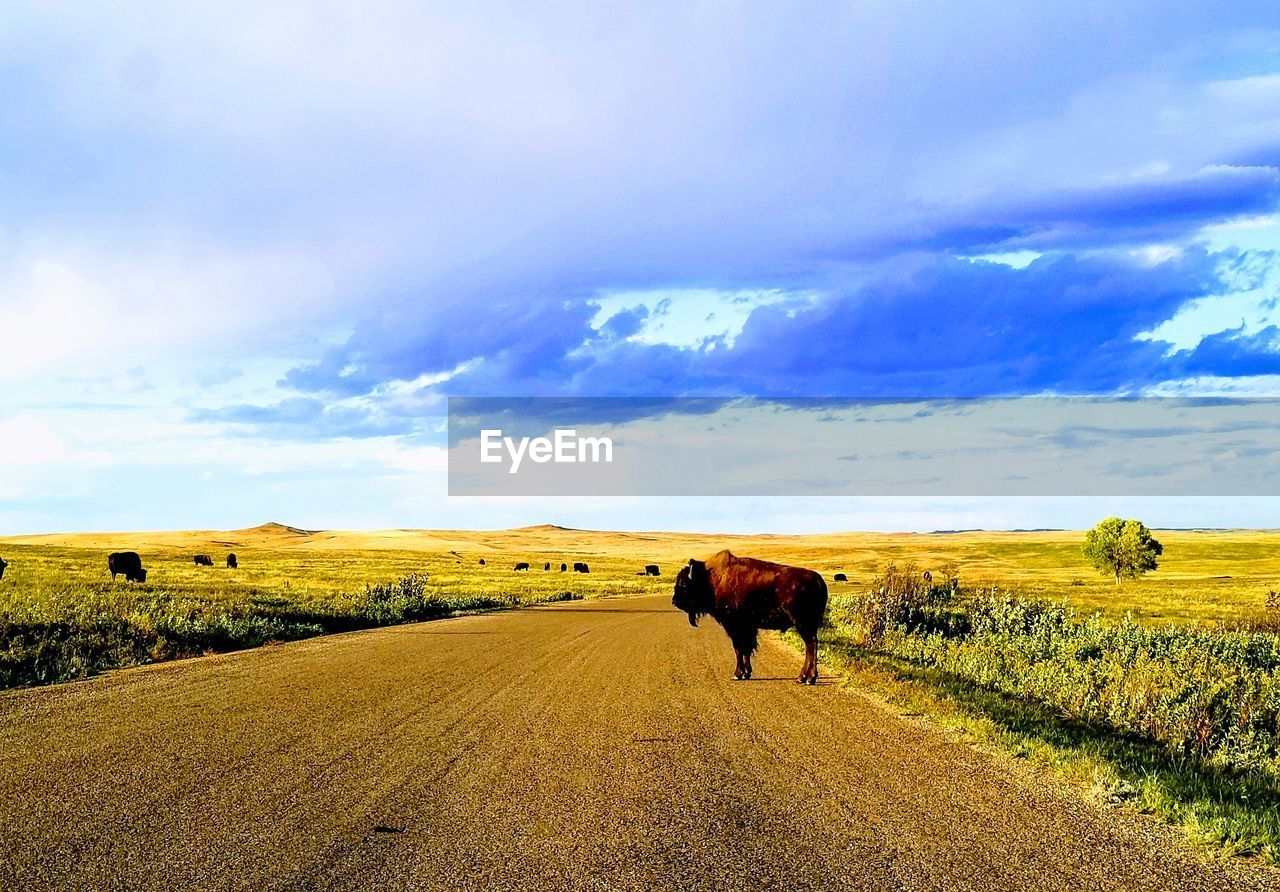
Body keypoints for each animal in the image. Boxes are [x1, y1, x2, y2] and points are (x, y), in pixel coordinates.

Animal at [670, 550, 829, 680]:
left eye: (684, 584)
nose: (674, 601)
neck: (711, 579)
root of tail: (819, 580)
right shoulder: (747, 628)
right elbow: (746, 649)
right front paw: (746, 673)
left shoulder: (735, 627)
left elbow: (739, 649)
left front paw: (737, 674)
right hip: (806, 625)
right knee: (810, 646)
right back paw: (804, 677)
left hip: (802, 623)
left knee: (811, 645)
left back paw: (808, 678)